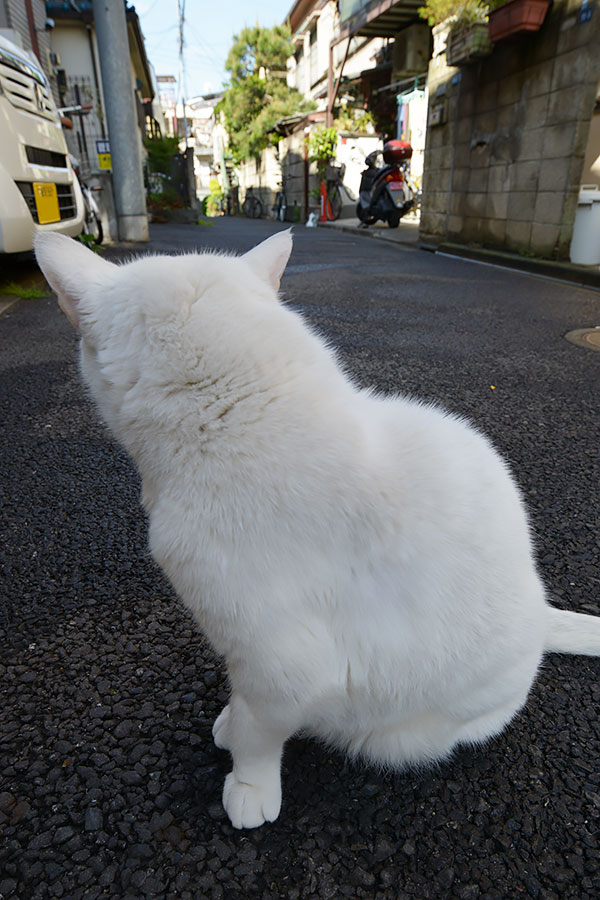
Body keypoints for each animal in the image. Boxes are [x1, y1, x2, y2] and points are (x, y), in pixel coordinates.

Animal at [36, 230, 600, 828]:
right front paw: (229, 721)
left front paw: (250, 783)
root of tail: (540, 612)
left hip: (403, 736)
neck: (238, 417)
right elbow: (243, 706)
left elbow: (259, 733)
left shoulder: (282, 664)